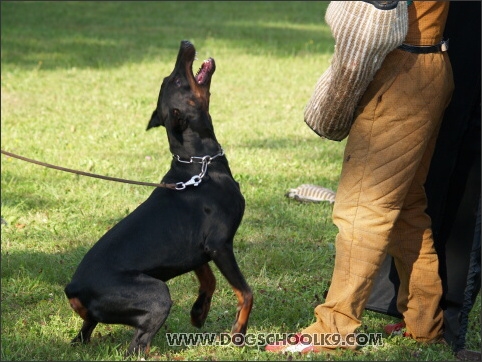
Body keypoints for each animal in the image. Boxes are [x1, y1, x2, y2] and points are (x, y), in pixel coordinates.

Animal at [65, 40, 254, 356]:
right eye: (176, 81)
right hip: (157, 295)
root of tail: (73, 289)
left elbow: (209, 280)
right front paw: (238, 333)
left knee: (84, 334)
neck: (199, 165)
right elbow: (245, 292)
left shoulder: (196, 249)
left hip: (101, 317)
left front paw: (199, 312)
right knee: (136, 346)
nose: (184, 43)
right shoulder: (219, 245)